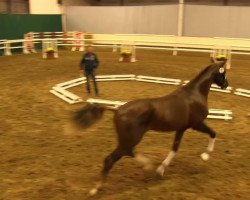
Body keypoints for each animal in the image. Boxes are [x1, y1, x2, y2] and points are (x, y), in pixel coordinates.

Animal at [73, 58, 229, 195]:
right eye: (223, 73)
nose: (226, 85)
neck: (194, 94)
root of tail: (117, 110)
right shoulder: (196, 124)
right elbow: (213, 133)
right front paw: (206, 155)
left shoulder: (181, 129)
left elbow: (174, 149)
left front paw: (160, 170)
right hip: (130, 139)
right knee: (111, 159)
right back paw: (95, 189)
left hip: (128, 140)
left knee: (129, 152)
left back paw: (147, 165)